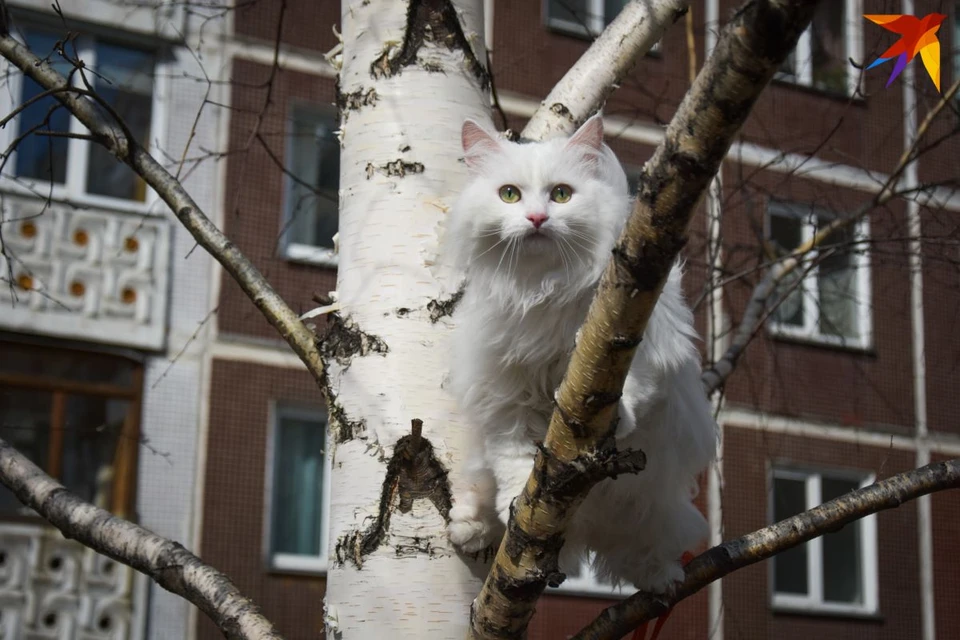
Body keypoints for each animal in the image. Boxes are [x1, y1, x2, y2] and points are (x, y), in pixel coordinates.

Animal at [446, 112, 716, 592]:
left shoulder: (631, 338)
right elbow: (514, 459)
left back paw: (662, 579)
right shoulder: (506, 393)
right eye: (509, 194)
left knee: (655, 543)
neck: (541, 289)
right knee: (483, 489)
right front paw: (516, 509)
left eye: (561, 194)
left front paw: (614, 415)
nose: (537, 218)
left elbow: (627, 389)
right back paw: (471, 526)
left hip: (653, 505)